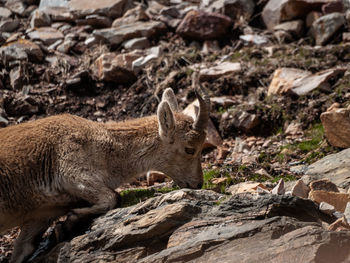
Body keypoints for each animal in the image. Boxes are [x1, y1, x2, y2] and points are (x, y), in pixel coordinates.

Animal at [0, 87, 208, 262]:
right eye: (190, 149)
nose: (198, 184)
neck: (104, 146)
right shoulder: (72, 172)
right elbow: (112, 197)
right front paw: (68, 222)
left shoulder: (40, 215)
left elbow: (23, 248)